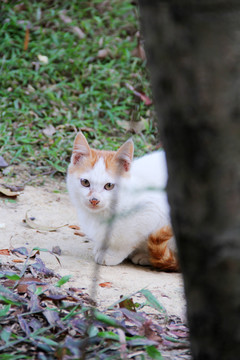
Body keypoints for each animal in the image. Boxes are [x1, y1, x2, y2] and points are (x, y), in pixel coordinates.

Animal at [67, 131, 178, 270]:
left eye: (109, 185)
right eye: (85, 182)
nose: (94, 200)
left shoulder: (152, 210)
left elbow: (127, 238)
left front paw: (112, 254)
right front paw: (100, 248)